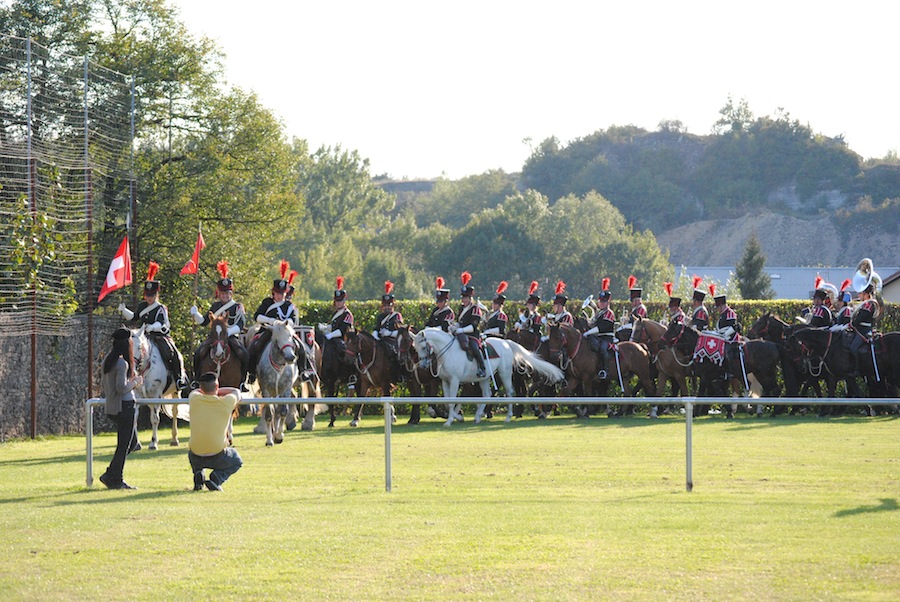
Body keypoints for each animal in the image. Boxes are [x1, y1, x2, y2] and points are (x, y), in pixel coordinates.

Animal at [414, 326, 568, 424]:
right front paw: (457, 417)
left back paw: (508, 417)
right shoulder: (446, 382)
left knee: (510, 393)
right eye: (415, 348)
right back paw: (478, 417)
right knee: (487, 395)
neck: (448, 352)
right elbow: (447, 403)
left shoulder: (455, 381)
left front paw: (450, 420)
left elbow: (452, 401)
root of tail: (506, 342)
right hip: (484, 377)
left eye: (423, 347)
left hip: (504, 374)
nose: (423, 365)